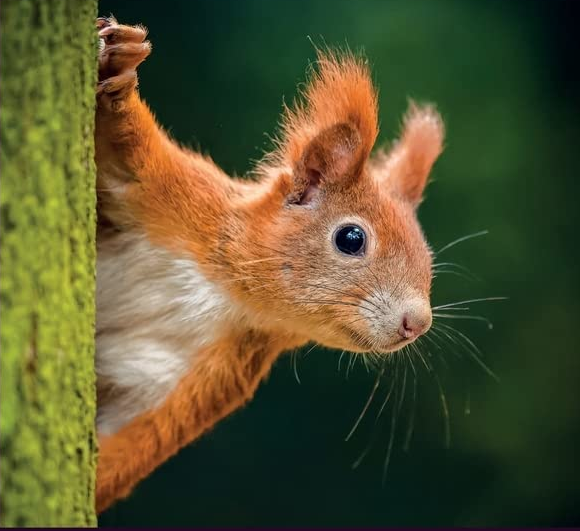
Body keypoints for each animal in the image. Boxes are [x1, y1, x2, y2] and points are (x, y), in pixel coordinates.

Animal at [95, 17, 444, 516]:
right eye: (351, 239)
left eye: (429, 259)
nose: (418, 322)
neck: (225, 292)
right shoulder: (173, 195)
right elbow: (129, 149)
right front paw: (121, 74)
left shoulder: (204, 376)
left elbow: (131, 441)